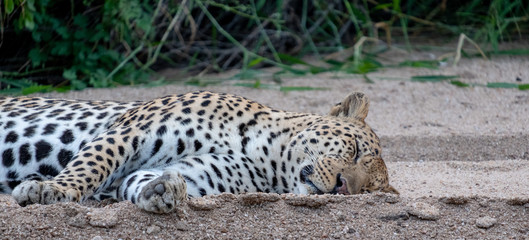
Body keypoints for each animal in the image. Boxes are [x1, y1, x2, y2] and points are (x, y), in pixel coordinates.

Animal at [0, 91, 396, 213]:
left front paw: (161, 192)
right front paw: (51, 190)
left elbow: (142, 180)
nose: (343, 186)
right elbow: (92, 164)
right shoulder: (130, 132)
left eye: (365, 191)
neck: (268, 156)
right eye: (355, 150)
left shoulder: (199, 175)